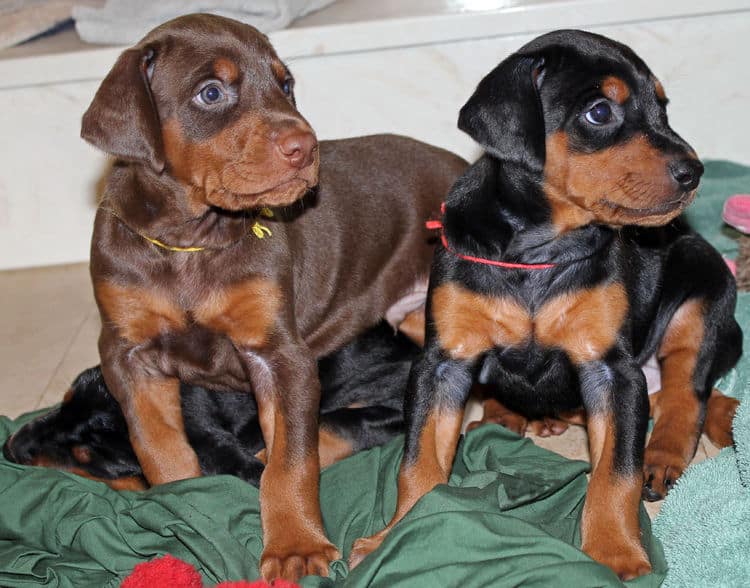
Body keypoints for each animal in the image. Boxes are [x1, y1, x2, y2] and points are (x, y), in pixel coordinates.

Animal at [83, 14, 470, 584]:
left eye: (285, 85)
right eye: (211, 92)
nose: (307, 147)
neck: (190, 242)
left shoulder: (281, 354)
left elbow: (290, 462)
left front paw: (295, 548)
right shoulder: (128, 356)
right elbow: (160, 448)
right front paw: (184, 507)